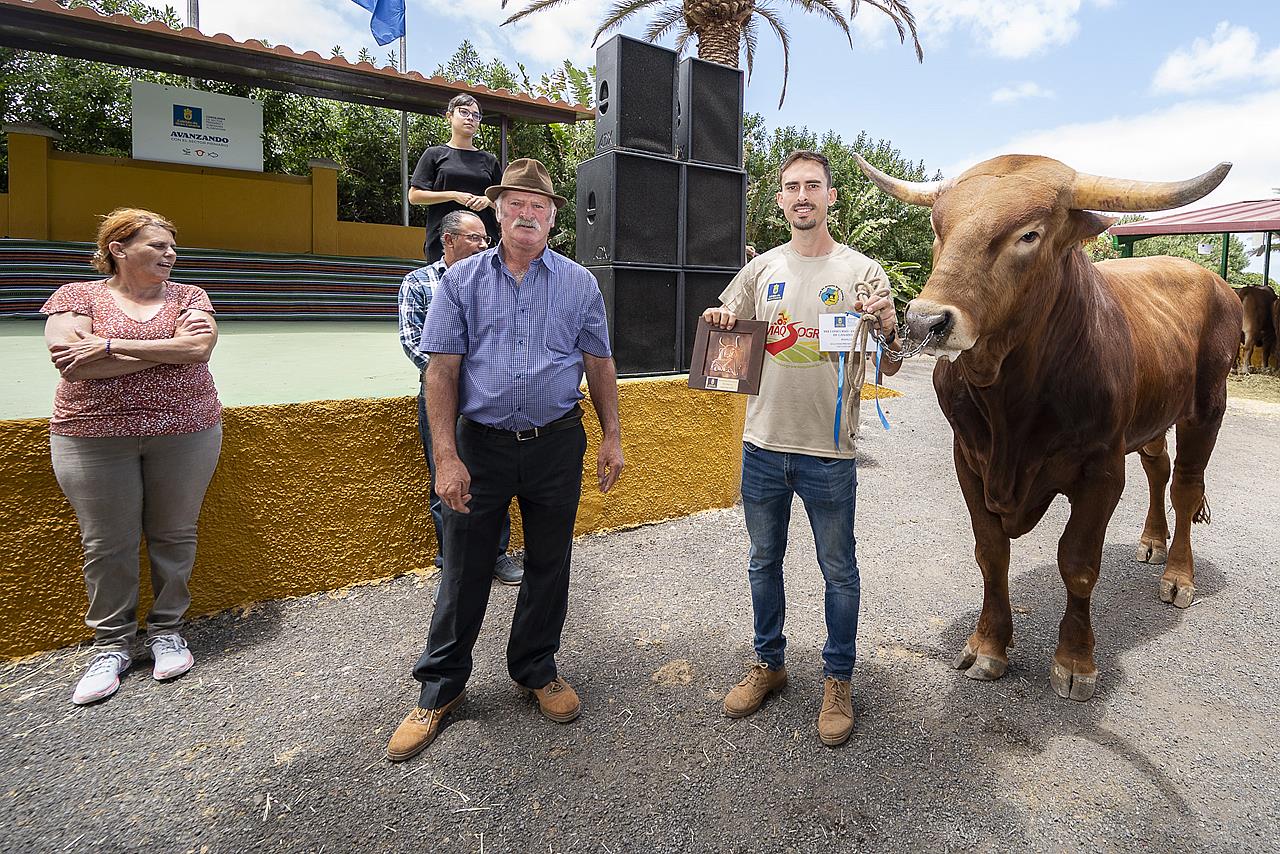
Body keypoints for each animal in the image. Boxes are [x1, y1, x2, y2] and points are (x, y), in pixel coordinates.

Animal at [854, 153, 1242, 702]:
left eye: (1029, 234)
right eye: (937, 227)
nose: (926, 321)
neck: (1008, 400)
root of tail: (1214, 281)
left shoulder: (1101, 471)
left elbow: (1078, 563)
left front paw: (1075, 660)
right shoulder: (968, 459)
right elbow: (991, 553)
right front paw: (989, 645)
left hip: (1207, 408)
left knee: (1185, 487)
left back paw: (1177, 575)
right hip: (1153, 417)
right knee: (1158, 468)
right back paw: (1151, 541)